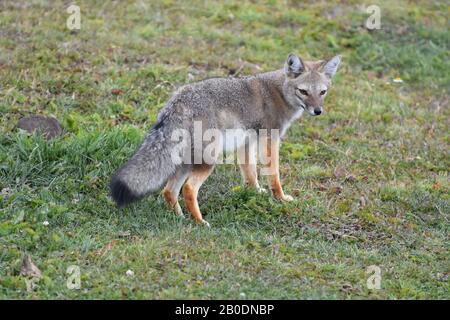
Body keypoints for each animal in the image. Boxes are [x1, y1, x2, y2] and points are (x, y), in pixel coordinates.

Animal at [111, 53, 342, 226]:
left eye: (323, 92)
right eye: (303, 91)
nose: (318, 111)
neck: (277, 92)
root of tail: (178, 101)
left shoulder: (246, 143)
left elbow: (250, 173)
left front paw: (256, 192)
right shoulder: (271, 138)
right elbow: (274, 174)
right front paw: (280, 198)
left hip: (186, 162)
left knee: (169, 191)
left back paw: (179, 218)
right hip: (207, 162)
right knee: (188, 189)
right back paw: (200, 222)